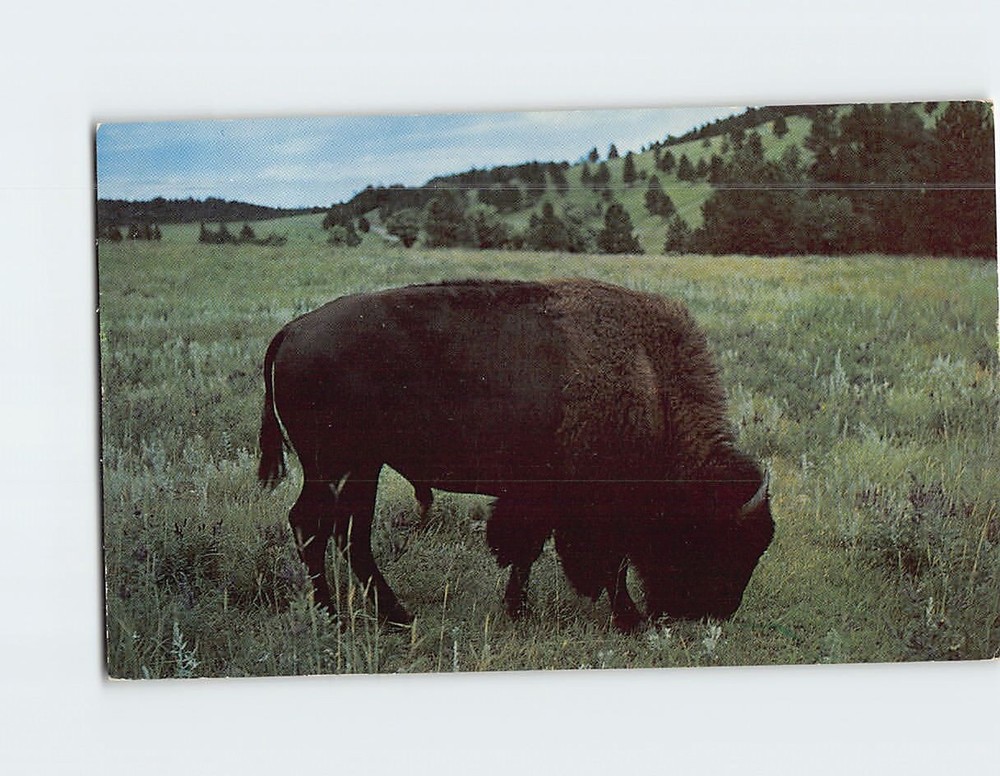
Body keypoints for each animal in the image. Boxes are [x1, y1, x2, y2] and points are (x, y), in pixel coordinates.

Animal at [258, 278, 773, 632]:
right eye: (714, 539)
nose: (714, 613)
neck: (649, 383)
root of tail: (291, 330)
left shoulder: (537, 498)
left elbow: (528, 551)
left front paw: (517, 608)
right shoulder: (583, 507)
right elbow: (602, 563)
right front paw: (629, 618)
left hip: (362, 467)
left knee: (350, 535)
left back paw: (396, 616)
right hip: (333, 466)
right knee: (311, 525)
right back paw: (334, 615)